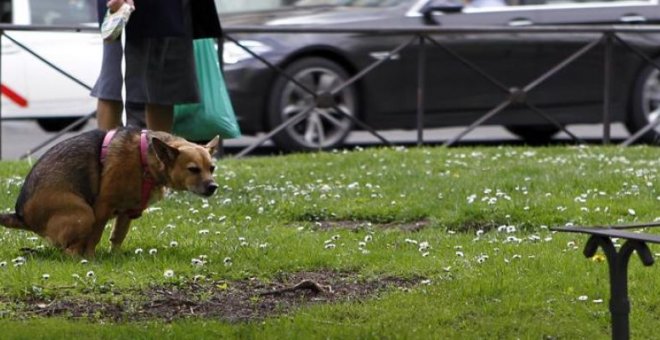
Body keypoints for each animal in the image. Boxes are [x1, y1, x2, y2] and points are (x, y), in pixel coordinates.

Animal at [0, 129, 219, 256]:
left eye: (212, 168)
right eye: (193, 169)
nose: (213, 187)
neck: (145, 161)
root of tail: (21, 216)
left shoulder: (126, 212)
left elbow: (117, 237)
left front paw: (114, 258)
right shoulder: (102, 208)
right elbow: (94, 238)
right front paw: (91, 259)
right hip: (84, 214)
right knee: (69, 249)